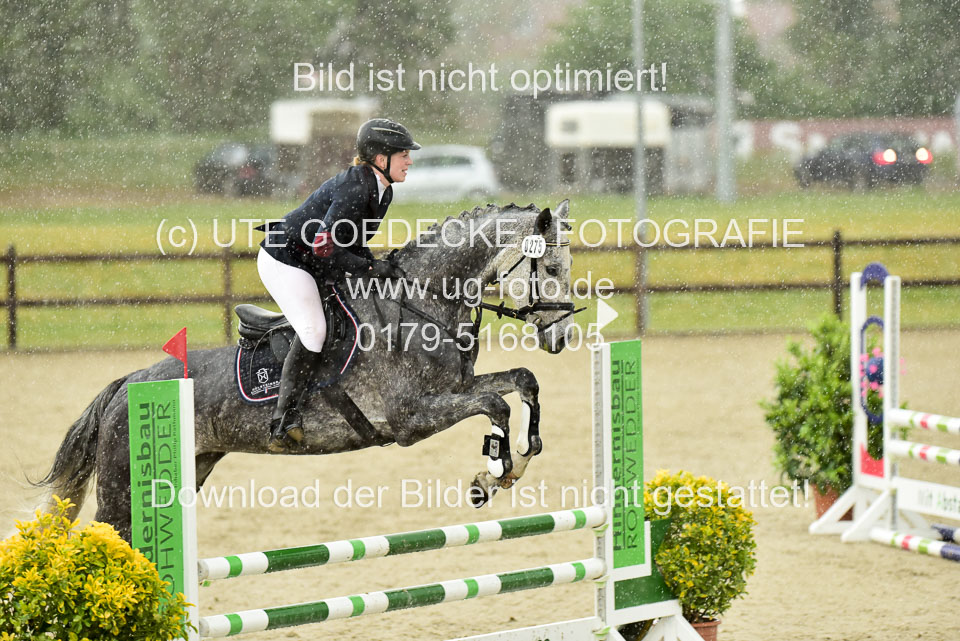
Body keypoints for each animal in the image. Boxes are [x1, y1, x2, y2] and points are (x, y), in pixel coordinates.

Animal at [34, 201, 579, 542]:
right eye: (551, 269)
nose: (562, 337)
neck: (421, 302)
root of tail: (128, 384)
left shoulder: (455, 388)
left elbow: (522, 382)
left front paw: (516, 463)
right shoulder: (411, 418)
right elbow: (495, 404)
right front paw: (492, 474)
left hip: (191, 468)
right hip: (122, 488)